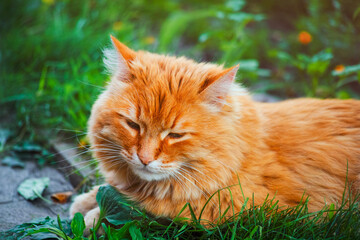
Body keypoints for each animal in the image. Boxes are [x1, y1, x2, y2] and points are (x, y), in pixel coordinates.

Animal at [69, 35, 358, 227]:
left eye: (175, 135)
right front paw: (87, 201)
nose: (145, 159)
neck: (240, 152)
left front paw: (93, 216)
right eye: (133, 125)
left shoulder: (240, 208)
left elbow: (143, 205)